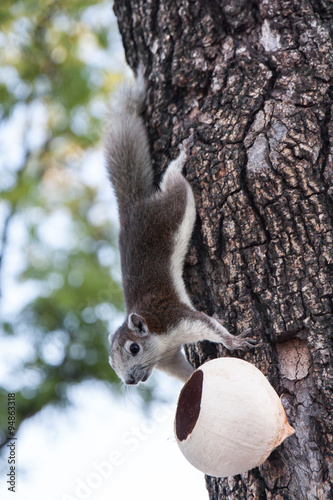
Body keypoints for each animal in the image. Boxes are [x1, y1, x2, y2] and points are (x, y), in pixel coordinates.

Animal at [104, 68, 256, 384]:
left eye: (134, 348)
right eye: (112, 364)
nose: (130, 380)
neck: (159, 339)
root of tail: (131, 209)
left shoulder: (176, 319)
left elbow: (210, 326)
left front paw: (235, 341)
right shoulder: (169, 359)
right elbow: (184, 371)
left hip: (172, 206)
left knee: (174, 181)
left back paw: (184, 153)